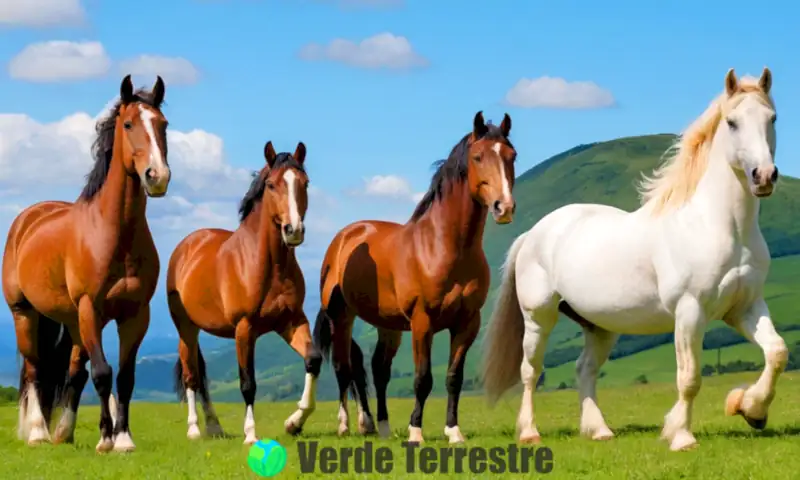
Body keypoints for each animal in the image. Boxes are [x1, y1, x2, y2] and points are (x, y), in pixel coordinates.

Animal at [2, 73, 171, 452]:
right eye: (128, 124)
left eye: (163, 125)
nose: (157, 176)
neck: (113, 235)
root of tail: (27, 219)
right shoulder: (90, 309)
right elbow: (103, 373)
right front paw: (107, 440)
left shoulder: (136, 314)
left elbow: (124, 377)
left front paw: (121, 437)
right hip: (26, 314)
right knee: (35, 370)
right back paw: (38, 432)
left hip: (71, 322)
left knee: (74, 373)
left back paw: (63, 432)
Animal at [167, 141, 320, 444]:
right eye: (271, 185)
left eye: (305, 183)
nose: (293, 230)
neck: (268, 266)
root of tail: (187, 245)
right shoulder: (244, 329)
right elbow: (248, 383)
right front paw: (251, 435)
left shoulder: (292, 321)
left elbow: (313, 360)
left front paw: (294, 422)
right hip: (185, 328)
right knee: (191, 374)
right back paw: (194, 429)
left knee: (200, 375)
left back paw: (214, 426)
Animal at [312, 110, 520, 444]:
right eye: (478, 157)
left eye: (512, 156)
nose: (505, 207)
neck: (443, 248)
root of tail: (346, 235)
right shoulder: (423, 322)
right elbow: (423, 379)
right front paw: (416, 432)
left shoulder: (467, 323)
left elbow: (453, 377)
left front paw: (453, 431)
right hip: (341, 318)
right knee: (344, 368)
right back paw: (346, 425)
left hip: (388, 326)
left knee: (378, 370)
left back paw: (383, 427)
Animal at [482, 66, 788, 450]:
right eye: (732, 122)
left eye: (772, 118)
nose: (764, 176)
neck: (719, 226)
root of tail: (533, 234)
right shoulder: (690, 311)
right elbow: (689, 376)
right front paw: (681, 436)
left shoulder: (745, 308)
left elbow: (776, 352)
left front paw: (750, 409)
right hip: (539, 317)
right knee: (530, 372)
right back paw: (529, 432)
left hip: (600, 326)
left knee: (584, 368)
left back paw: (599, 430)